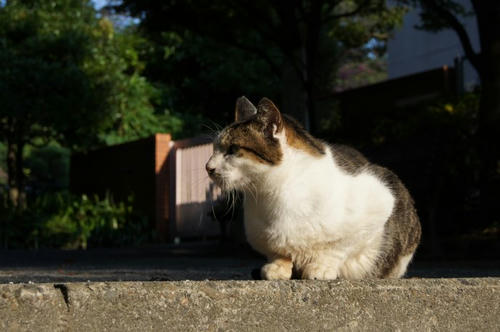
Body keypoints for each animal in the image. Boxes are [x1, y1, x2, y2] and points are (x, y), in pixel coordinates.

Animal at [207, 96, 422, 280]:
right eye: (214, 149)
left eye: (233, 149)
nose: (208, 167)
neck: (273, 194)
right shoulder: (264, 237)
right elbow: (277, 251)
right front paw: (277, 267)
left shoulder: (382, 197)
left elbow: (339, 247)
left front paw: (321, 267)